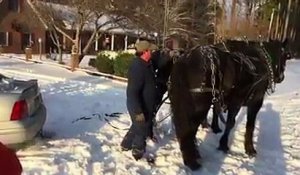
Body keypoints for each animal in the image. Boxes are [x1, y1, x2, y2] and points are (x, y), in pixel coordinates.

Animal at [168, 39, 290, 170]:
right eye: (285, 55)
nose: (281, 77)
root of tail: (185, 60)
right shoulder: (252, 101)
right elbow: (243, 125)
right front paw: (245, 148)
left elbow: (221, 116)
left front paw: (218, 132)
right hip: (199, 107)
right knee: (188, 130)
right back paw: (192, 161)